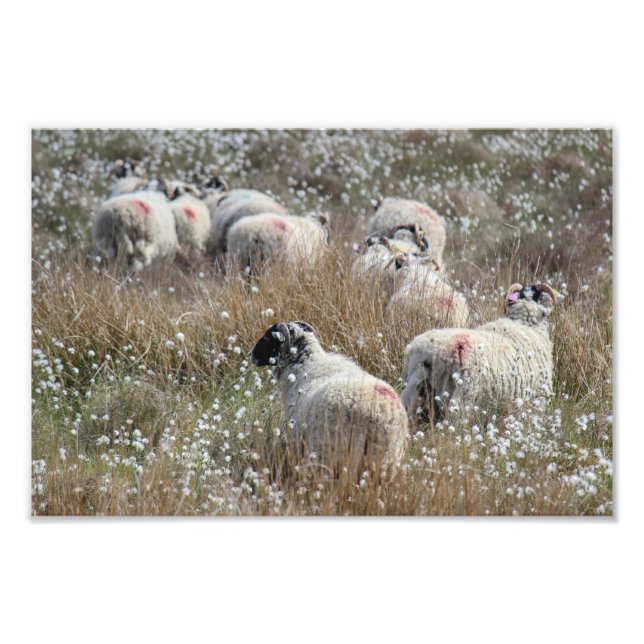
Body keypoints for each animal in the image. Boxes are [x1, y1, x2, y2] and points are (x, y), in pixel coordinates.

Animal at [250, 321, 409, 477]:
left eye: (267, 337)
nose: (251, 355)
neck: (304, 365)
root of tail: (379, 413)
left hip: (331, 450)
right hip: (386, 459)